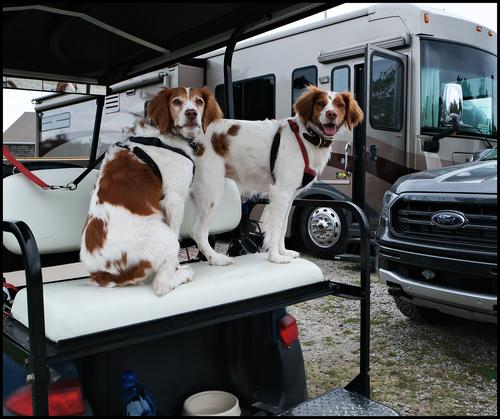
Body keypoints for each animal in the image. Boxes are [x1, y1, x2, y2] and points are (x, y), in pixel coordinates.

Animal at [80, 86, 221, 296]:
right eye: (176, 102)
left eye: (199, 102)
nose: (191, 113)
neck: (165, 136)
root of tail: (104, 275)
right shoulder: (174, 200)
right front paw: (178, 268)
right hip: (168, 239)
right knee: (160, 286)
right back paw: (184, 274)